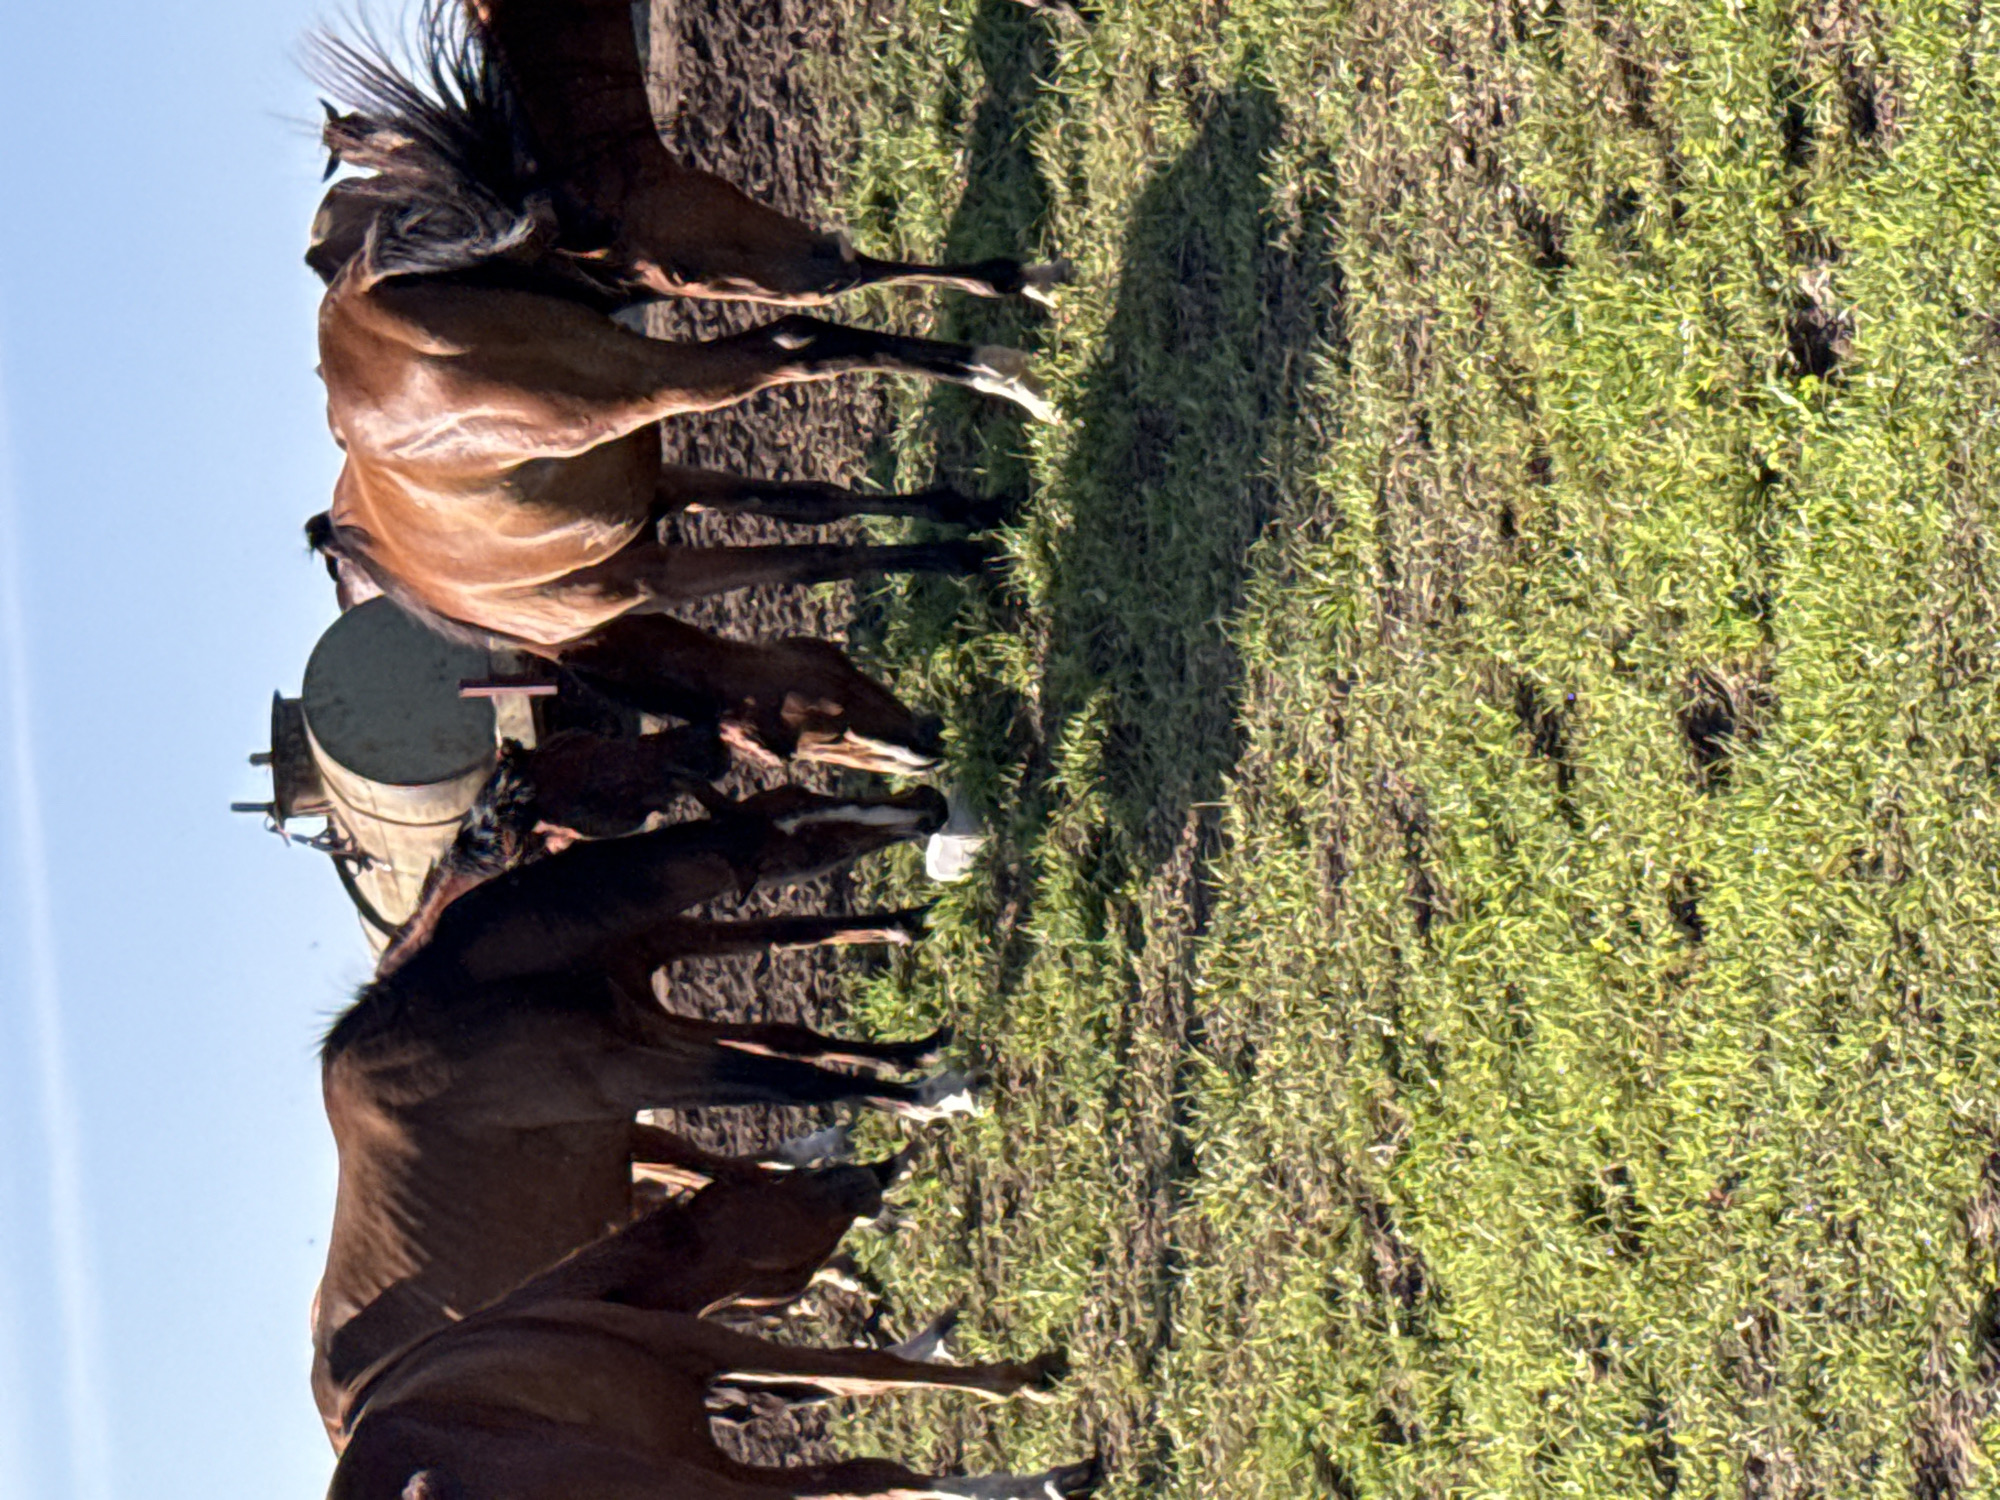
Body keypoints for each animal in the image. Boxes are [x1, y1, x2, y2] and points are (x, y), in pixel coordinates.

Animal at [313, 784, 980, 1448]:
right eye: (797, 832)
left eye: (801, 793)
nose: (928, 803)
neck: (460, 999)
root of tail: (344, 1408)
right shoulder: (631, 1072)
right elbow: (792, 1079)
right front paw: (931, 1100)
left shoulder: (647, 1029)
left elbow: (786, 1038)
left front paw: (913, 1056)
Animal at [328, 1165, 1100, 1500]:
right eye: (761, 1186)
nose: (868, 1171)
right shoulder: (707, 1347)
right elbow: (863, 1373)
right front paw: (1023, 1380)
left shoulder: (710, 1437)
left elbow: (866, 1474)